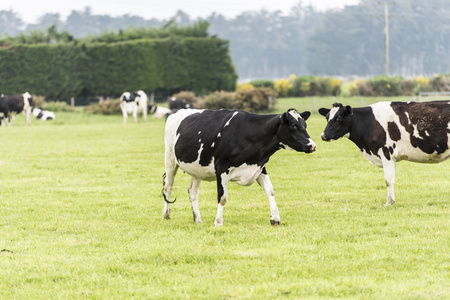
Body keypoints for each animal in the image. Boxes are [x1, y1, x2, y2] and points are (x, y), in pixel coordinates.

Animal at [163, 107, 316, 225]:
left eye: (305, 126)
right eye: (294, 126)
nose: (312, 145)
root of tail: (176, 113)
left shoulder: (259, 166)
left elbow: (270, 190)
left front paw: (275, 218)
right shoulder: (221, 169)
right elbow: (222, 197)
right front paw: (218, 222)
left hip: (197, 169)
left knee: (193, 192)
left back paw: (198, 219)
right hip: (170, 159)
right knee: (168, 188)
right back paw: (165, 215)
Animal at [318, 102, 448, 205]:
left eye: (339, 118)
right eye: (327, 118)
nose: (324, 136)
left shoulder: (386, 153)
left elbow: (388, 180)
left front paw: (389, 202)